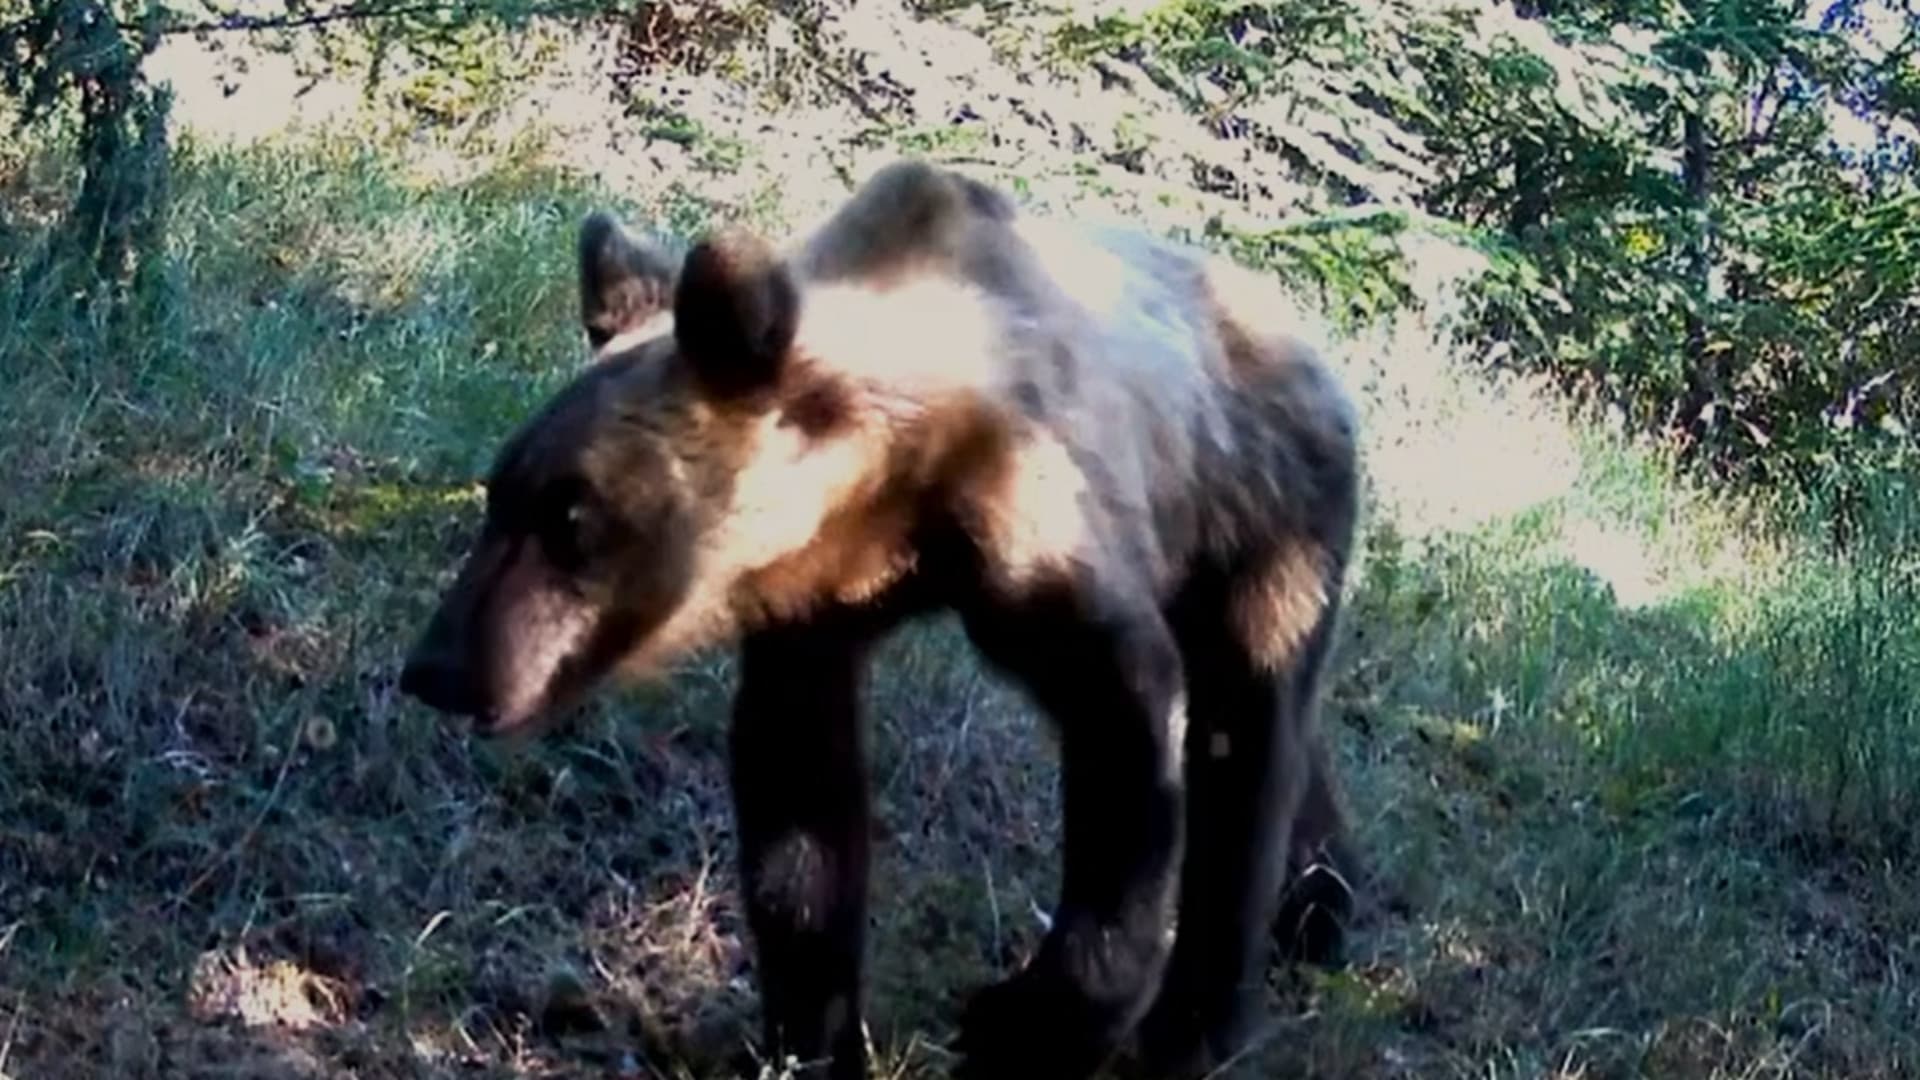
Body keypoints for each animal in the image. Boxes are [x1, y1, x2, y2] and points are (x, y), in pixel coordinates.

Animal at [399, 158, 1364, 1080]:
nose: (437, 667)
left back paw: (1205, 1017)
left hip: (1263, 509)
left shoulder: (1033, 526)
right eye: (498, 493)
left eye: (571, 516)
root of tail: (1300, 331)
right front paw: (808, 1035)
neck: (894, 480)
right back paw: (1320, 903)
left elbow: (1122, 727)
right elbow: (801, 787)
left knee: (1249, 738)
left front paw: (1029, 1023)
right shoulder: (812, 602)